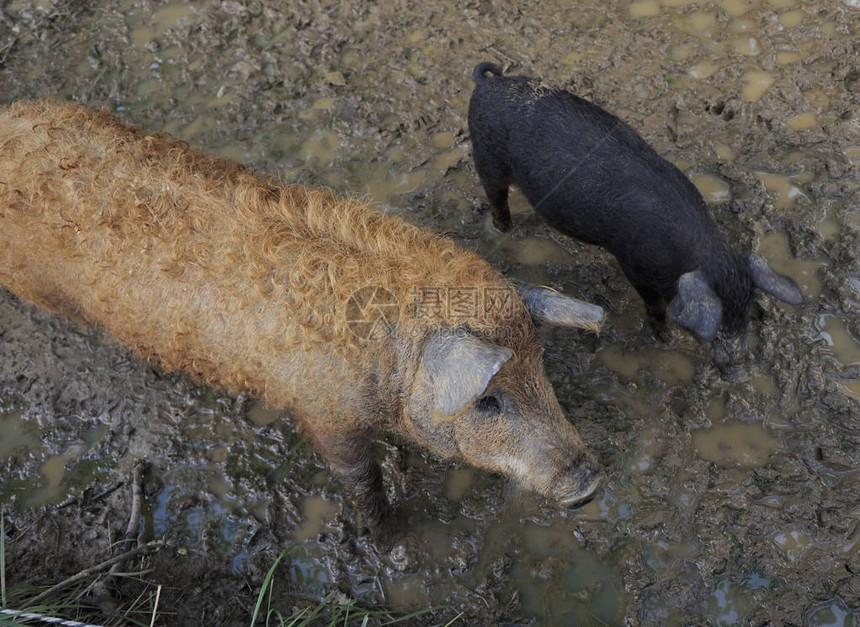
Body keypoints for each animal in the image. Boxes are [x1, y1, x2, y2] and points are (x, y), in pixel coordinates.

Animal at [0, 100, 608, 544]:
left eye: (541, 371)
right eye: (487, 401)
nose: (591, 483)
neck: (391, 368)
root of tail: (12, 118)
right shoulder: (325, 412)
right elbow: (357, 475)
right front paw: (377, 538)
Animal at [466, 62, 804, 376]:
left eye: (743, 315)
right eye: (717, 321)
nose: (738, 372)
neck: (693, 254)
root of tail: (486, 84)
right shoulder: (635, 266)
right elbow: (655, 306)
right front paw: (665, 340)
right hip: (486, 159)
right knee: (497, 199)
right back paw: (504, 231)